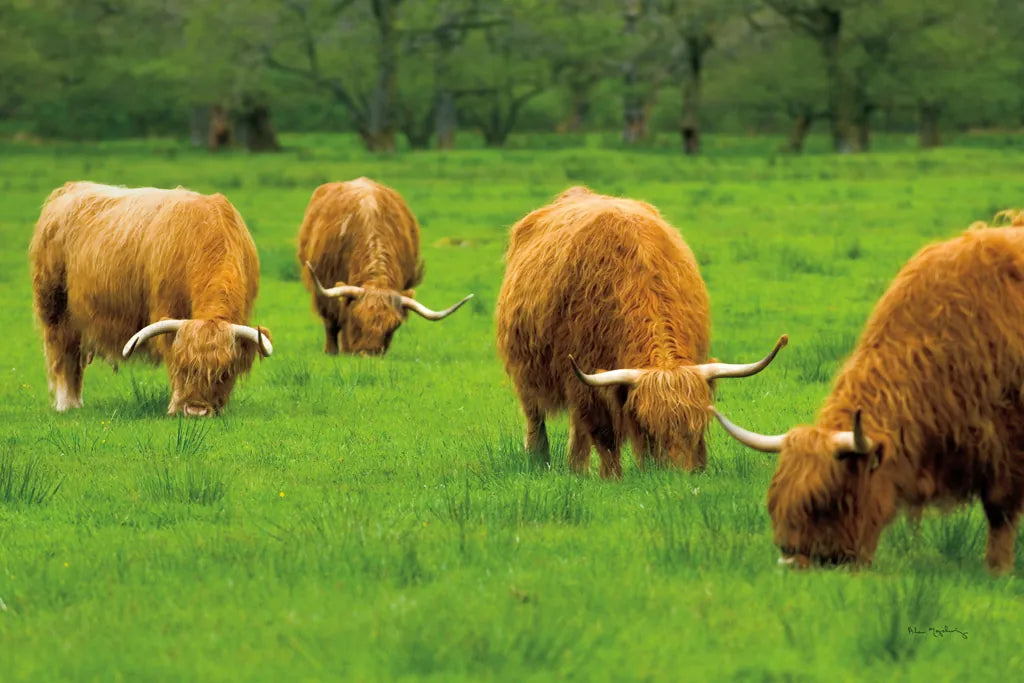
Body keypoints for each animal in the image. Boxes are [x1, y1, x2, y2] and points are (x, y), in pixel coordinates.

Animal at [29, 181, 273, 417]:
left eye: (224, 373)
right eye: (183, 368)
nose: (196, 410)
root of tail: (69, 188)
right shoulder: (166, 311)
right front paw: (175, 405)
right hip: (54, 306)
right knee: (62, 353)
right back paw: (67, 404)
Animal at [495, 186, 787, 478]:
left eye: (699, 425)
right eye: (648, 428)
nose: (679, 474)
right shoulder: (585, 379)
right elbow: (605, 436)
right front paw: (611, 477)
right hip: (527, 373)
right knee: (537, 418)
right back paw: (544, 461)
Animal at [712, 215, 1024, 573]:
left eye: (826, 501)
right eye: (775, 503)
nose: (792, 562)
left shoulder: (1007, 444)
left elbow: (1000, 510)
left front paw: (998, 569)